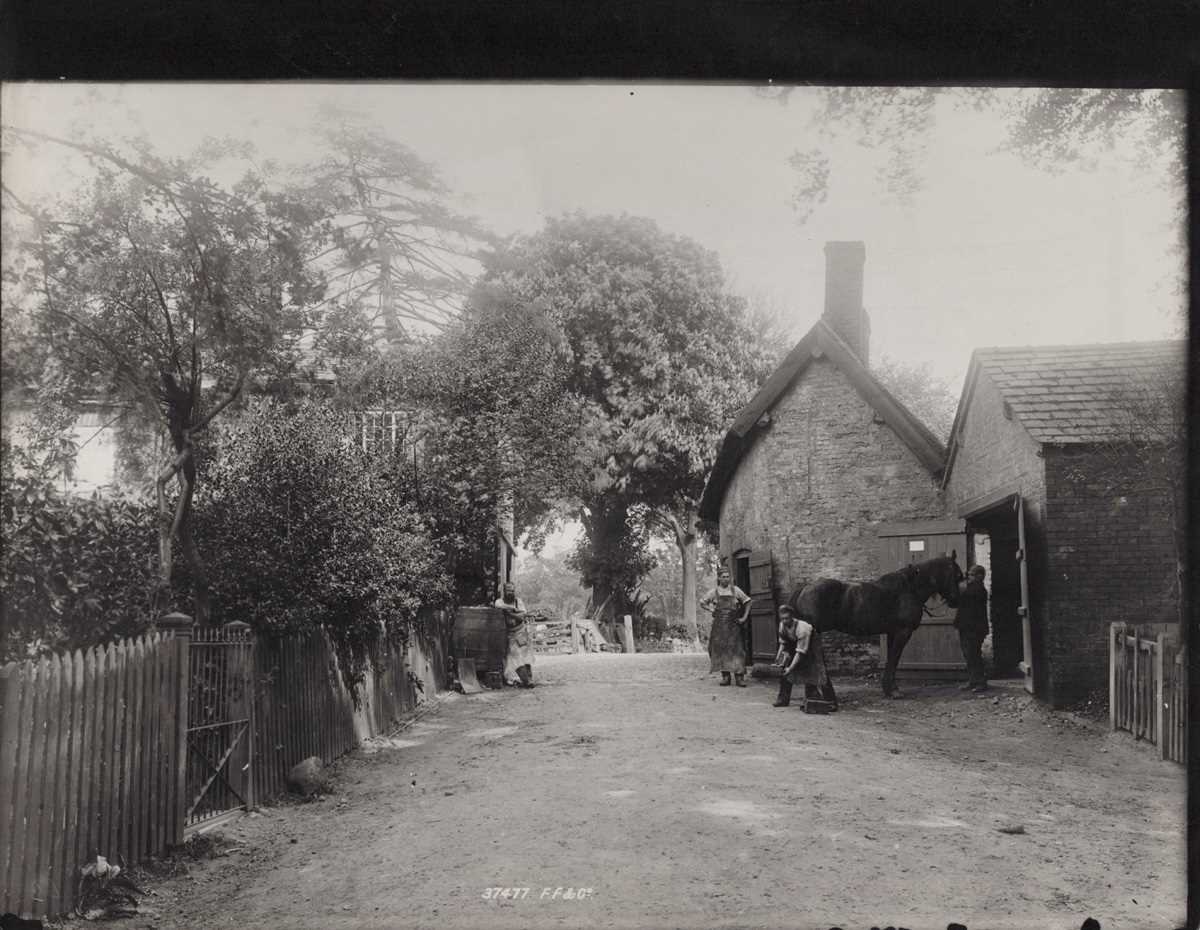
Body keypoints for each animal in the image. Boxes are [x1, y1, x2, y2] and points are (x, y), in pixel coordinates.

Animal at [787, 552, 964, 700]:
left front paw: (889, 689)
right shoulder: (903, 632)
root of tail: (805, 588)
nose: (956, 601)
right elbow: (894, 659)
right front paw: (893, 691)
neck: (909, 588)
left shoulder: (893, 632)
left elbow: (892, 659)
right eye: (957, 576)